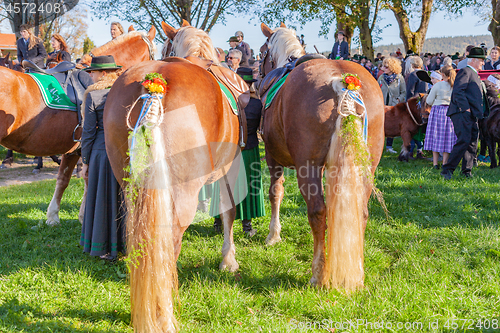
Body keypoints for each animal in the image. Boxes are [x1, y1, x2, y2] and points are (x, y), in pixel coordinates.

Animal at [0, 26, 156, 223]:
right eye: (153, 54)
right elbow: (88, 177)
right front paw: (84, 215)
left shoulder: (75, 148)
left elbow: (63, 179)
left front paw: (53, 216)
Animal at [104, 20, 246, 330]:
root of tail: (154, 83)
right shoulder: (230, 168)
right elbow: (228, 211)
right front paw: (228, 260)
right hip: (181, 195)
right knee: (168, 243)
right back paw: (163, 310)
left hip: (131, 189)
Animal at [260, 22, 384, 290]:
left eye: (262, 51)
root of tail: (342, 81)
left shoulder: (273, 156)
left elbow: (275, 192)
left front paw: (273, 234)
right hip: (367, 166)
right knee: (361, 212)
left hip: (308, 168)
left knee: (317, 212)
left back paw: (318, 273)